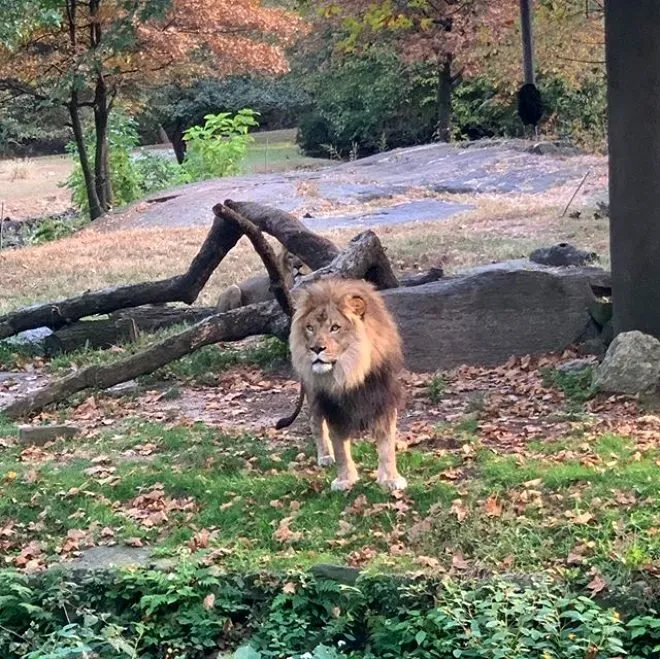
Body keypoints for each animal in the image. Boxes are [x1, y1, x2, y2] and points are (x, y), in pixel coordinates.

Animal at [290, 278, 408, 490]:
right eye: (310, 328)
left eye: (335, 327)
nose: (316, 348)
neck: (349, 372)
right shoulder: (332, 408)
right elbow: (340, 448)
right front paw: (345, 480)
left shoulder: (384, 400)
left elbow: (386, 445)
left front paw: (390, 479)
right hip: (313, 397)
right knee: (316, 425)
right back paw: (325, 457)